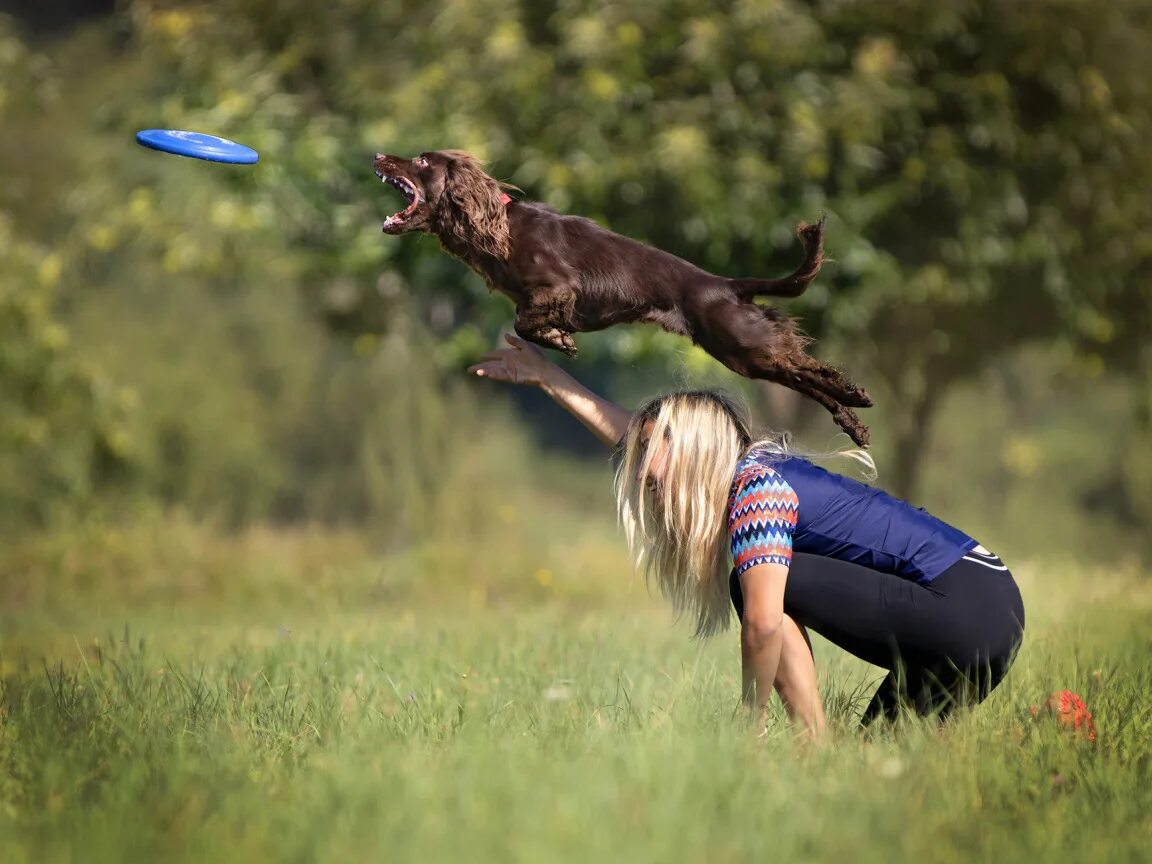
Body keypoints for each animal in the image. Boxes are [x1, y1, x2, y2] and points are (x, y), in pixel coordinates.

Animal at [373, 148, 866, 442]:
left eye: (421, 161)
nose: (378, 155)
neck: (497, 228)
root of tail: (726, 285)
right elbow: (525, 321)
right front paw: (557, 341)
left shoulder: (558, 287)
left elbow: (524, 321)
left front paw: (560, 341)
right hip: (742, 352)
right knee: (801, 374)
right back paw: (854, 423)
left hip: (742, 344)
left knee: (807, 368)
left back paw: (855, 395)